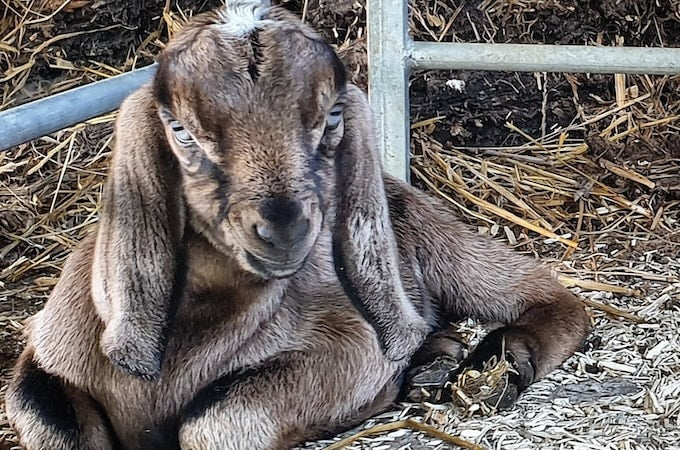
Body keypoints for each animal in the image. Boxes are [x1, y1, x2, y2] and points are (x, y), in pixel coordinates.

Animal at [3, 1, 588, 448]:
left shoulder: (348, 346)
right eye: (180, 129)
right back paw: (435, 362)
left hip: (428, 235)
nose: (282, 227)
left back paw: (494, 364)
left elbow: (213, 421)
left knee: (549, 298)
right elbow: (43, 415)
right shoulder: (44, 365)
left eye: (331, 117)